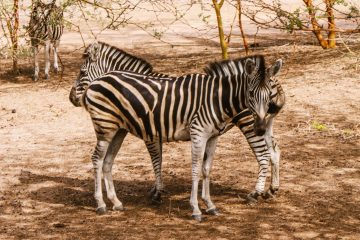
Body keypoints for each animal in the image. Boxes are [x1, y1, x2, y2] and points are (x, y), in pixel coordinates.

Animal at [69, 40, 286, 204]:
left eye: (82, 72)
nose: (71, 98)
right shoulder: (157, 130)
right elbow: (159, 159)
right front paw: (156, 189)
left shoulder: (150, 132)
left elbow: (156, 160)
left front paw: (157, 192)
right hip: (263, 125)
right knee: (274, 151)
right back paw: (272, 189)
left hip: (250, 124)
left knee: (263, 155)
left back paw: (256, 193)